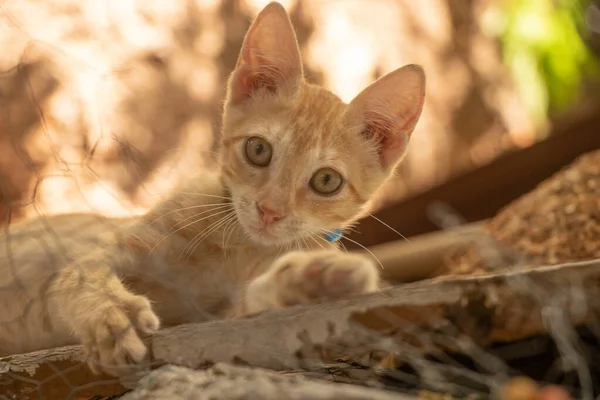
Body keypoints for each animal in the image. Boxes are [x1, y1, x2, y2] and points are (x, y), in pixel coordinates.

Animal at [0, 1, 424, 376]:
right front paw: (110, 313)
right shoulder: (109, 249)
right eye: (258, 149)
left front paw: (311, 283)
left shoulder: (216, 320)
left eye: (326, 181)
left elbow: (254, 312)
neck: (237, 246)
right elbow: (81, 273)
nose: (270, 211)